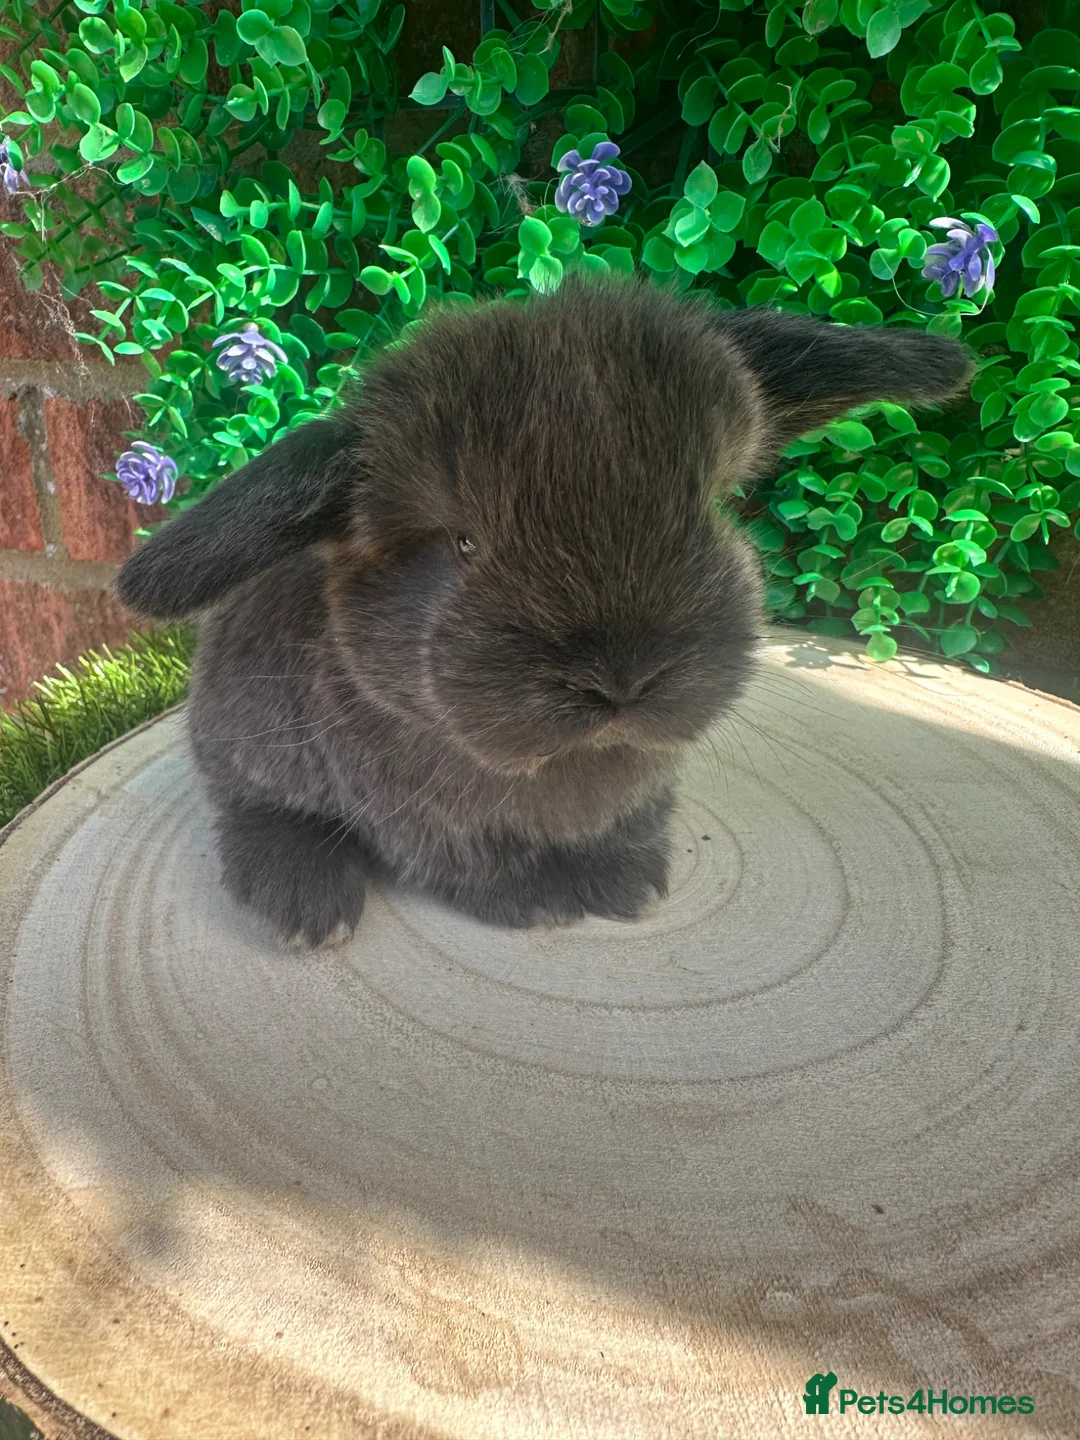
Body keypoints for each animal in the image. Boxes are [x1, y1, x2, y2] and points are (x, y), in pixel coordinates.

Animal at [116, 270, 974, 948]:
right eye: (463, 542)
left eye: (706, 505)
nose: (623, 678)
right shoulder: (422, 819)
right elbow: (473, 867)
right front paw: (535, 905)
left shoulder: (643, 791)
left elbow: (630, 829)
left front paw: (628, 885)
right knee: (251, 807)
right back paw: (304, 902)